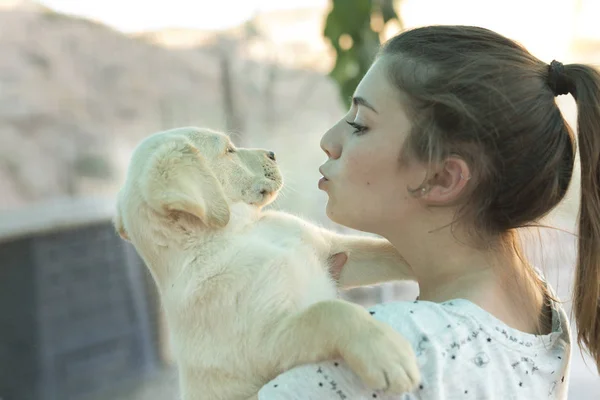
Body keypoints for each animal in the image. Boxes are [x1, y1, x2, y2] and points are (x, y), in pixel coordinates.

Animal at [115, 127, 420, 400]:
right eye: (229, 150)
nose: (273, 153)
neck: (239, 234)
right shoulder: (267, 342)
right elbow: (328, 312)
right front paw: (387, 352)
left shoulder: (335, 249)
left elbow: (389, 251)